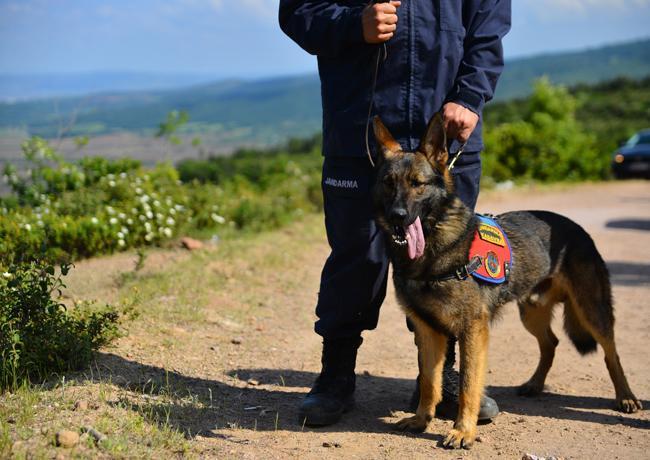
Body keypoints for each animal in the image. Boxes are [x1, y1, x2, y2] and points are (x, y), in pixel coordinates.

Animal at [372, 115, 640, 450]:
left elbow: (468, 385)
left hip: (592, 311)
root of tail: (576, 228)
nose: (397, 216)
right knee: (550, 343)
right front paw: (422, 420)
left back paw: (626, 397)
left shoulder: (472, 330)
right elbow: (429, 383)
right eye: (388, 183)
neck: (436, 248)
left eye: (417, 184)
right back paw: (535, 384)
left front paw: (463, 431)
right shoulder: (428, 331)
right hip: (531, 314)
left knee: (611, 353)